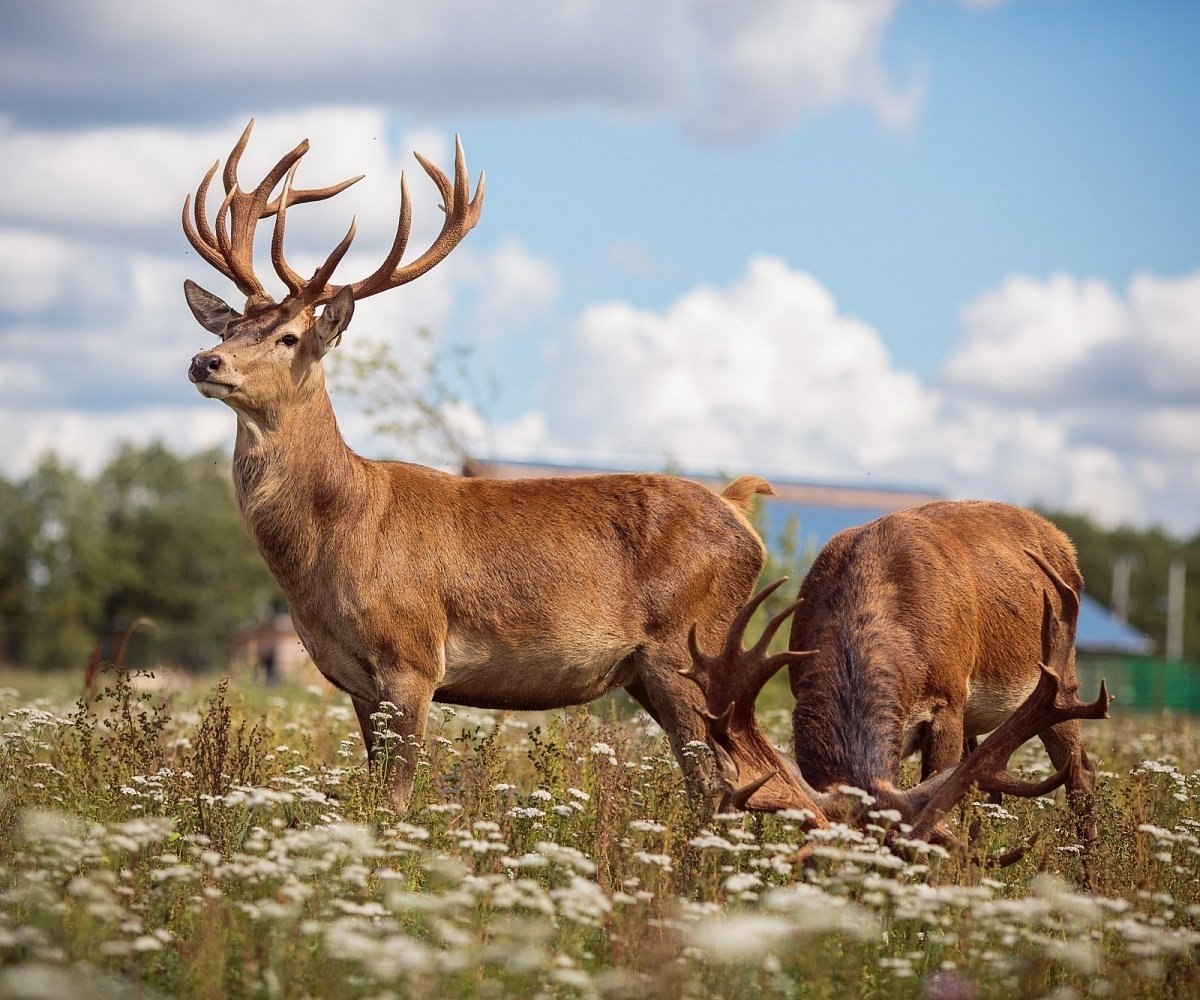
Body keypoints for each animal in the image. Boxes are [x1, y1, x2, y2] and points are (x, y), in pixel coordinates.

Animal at [182, 123, 772, 811]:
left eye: (289, 337)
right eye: (231, 326)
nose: (205, 360)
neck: (340, 530)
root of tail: (740, 511)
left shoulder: (412, 656)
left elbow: (396, 800)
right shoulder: (352, 679)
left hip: (687, 647)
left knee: (721, 779)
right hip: (657, 672)